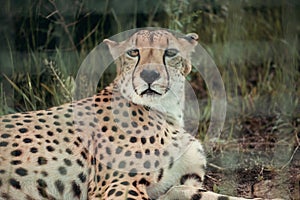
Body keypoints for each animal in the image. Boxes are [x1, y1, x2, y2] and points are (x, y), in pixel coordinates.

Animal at [0, 30, 276, 200]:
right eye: (133, 52)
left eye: (170, 52)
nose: (149, 75)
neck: (167, 111)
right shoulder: (117, 188)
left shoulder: (174, 186)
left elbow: (211, 195)